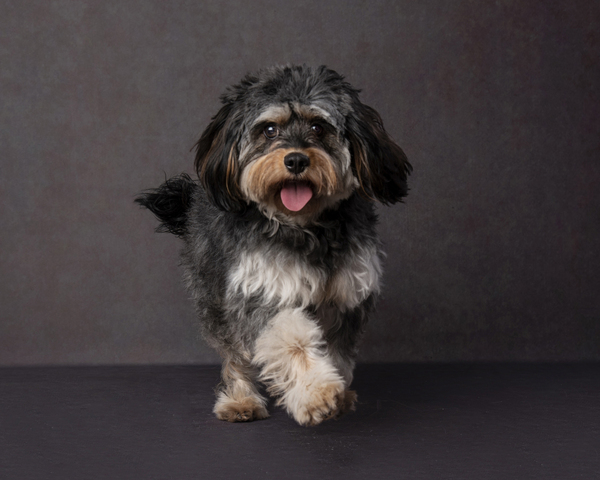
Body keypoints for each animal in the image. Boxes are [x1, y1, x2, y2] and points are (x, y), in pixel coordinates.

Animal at [136, 65, 410, 426]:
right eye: (269, 130)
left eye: (318, 127)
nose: (295, 160)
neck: (307, 227)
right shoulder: (262, 292)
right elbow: (291, 340)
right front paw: (317, 392)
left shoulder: (346, 299)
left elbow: (338, 353)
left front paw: (338, 391)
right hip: (215, 298)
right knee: (235, 354)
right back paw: (240, 399)